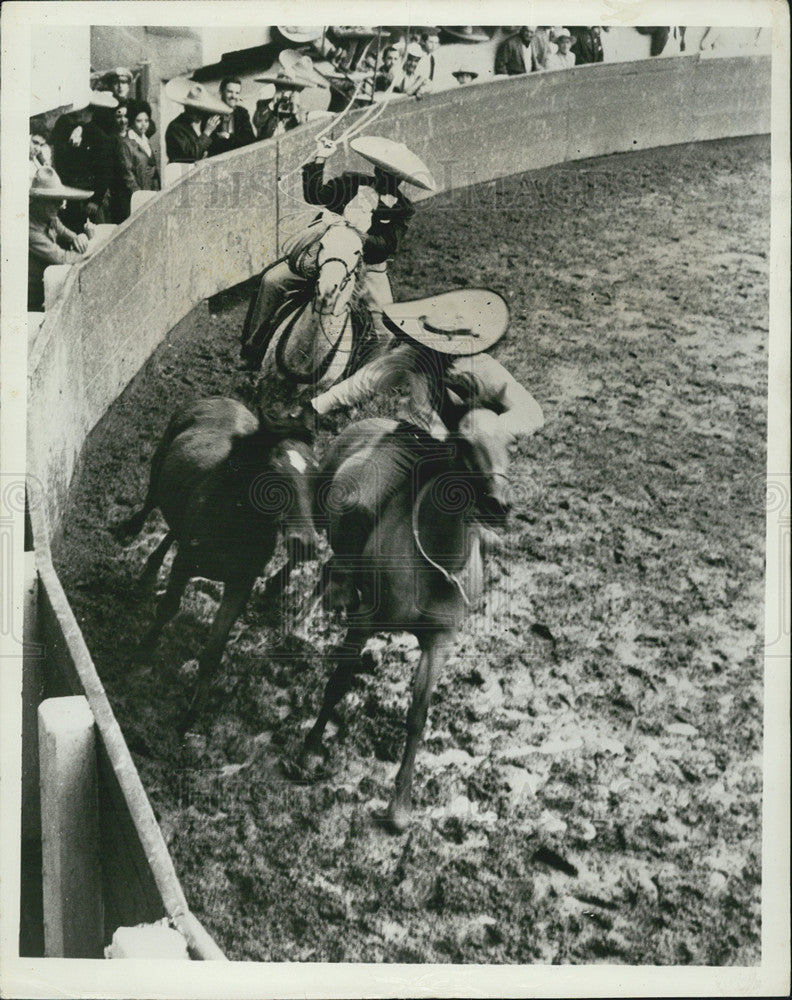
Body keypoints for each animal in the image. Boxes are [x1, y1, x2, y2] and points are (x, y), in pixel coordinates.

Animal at [113, 394, 318, 716]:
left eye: (317, 473)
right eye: (273, 470)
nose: (305, 542)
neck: (233, 526)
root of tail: (220, 399)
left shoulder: (240, 584)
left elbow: (216, 643)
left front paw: (196, 707)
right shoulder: (184, 565)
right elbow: (168, 608)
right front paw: (142, 653)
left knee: (174, 530)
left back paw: (149, 573)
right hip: (159, 463)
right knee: (152, 499)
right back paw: (132, 532)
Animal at [298, 410, 512, 832]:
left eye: (510, 443)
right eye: (463, 443)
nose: (498, 505)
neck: (435, 564)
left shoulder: (440, 643)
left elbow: (417, 716)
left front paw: (399, 806)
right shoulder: (364, 622)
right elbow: (338, 684)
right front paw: (310, 752)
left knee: (330, 568)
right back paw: (297, 624)